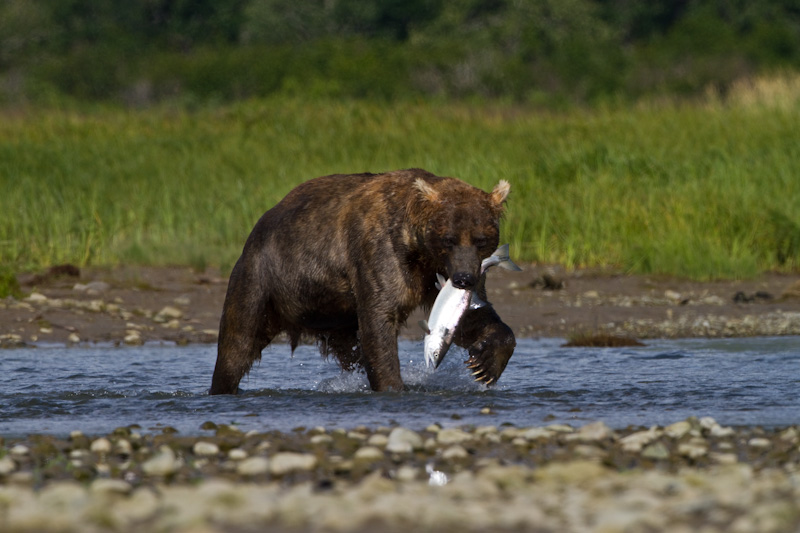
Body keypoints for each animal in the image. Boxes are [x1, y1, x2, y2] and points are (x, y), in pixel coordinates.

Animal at [209, 168, 516, 392]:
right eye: (448, 239)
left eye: (480, 239)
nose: (464, 279)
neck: (419, 250)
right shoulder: (380, 253)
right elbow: (380, 320)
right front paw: (393, 385)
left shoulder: (438, 276)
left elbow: (471, 318)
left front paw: (485, 364)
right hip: (263, 279)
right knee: (238, 342)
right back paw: (222, 387)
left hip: (334, 313)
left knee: (351, 349)